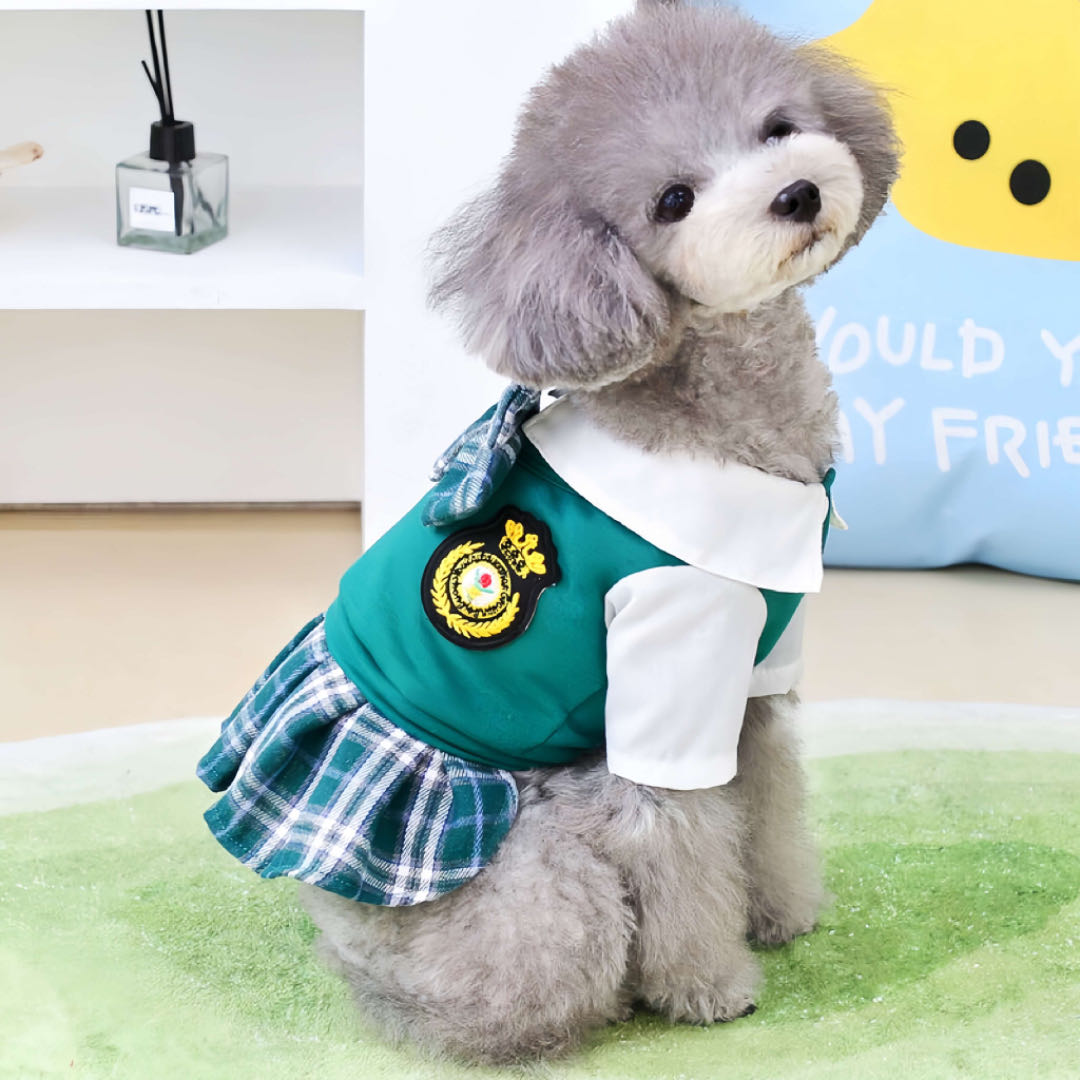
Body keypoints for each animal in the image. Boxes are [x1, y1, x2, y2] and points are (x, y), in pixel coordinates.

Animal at [300, 0, 898, 1062]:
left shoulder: (752, 680)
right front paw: (710, 988)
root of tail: (333, 925)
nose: (794, 193)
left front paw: (781, 914)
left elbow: (768, 798)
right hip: (538, 875)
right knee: (511, 986)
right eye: (672, 200)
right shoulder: (661, 674)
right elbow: (681, 842)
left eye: (778, 128)